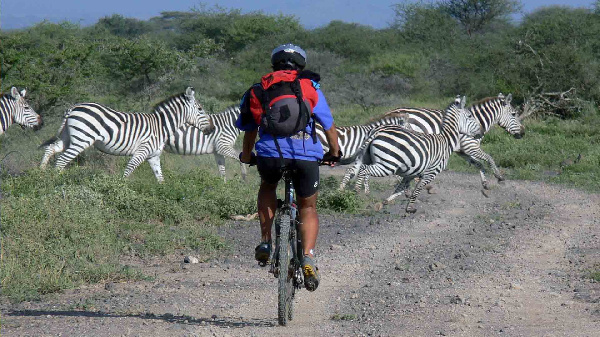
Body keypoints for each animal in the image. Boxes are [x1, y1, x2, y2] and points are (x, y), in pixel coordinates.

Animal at [39, 86, 213, 181]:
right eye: (200, 109)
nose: (211, 130)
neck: (161, 126)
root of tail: (73, 107)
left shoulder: (153, 156)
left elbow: (160, 178)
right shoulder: (141, 152)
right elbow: (128, 171)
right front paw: (120, 190)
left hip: (68, 137)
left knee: (51, 149)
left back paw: (40, 175)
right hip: (82, 140)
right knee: (62, 160)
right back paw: (56, 182)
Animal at [342, 93, 524, 190]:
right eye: (514, 114)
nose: (522, 133)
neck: (475, 121)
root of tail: (391, 112)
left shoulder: (463, 151)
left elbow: (479, 164)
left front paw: (485, 183)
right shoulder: (470, 146)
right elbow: (489, 158)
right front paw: (499, 177)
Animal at [352, 95, 482, 213]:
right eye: (470, 116)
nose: (481, 132)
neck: (446, 140)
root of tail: (377, 132)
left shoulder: (410, 174)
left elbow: (400, 189)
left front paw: (384, 203)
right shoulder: (430, 172)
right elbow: (418, 189)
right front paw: (410, 208)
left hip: (375, 160)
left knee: (362, 168)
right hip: (387, 165)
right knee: (364, 169)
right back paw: (358, 191)